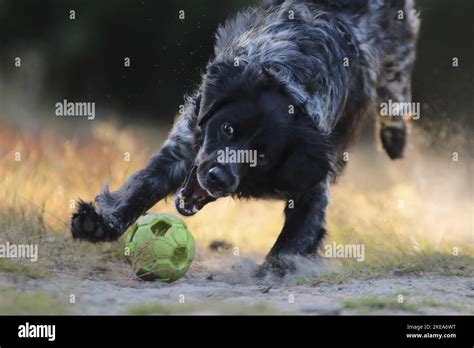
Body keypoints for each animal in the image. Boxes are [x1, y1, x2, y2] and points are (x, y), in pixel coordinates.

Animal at [70, 0, 418, 278]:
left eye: (263, 156)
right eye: (227, 129)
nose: (219, 177)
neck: (289, 75)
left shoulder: (313, 182)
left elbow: (293, 240)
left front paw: (275, 271)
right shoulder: (184, 145)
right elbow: (141, 187)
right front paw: (98, 222)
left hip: (397, 51)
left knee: (394, 90)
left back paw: (395, 138)